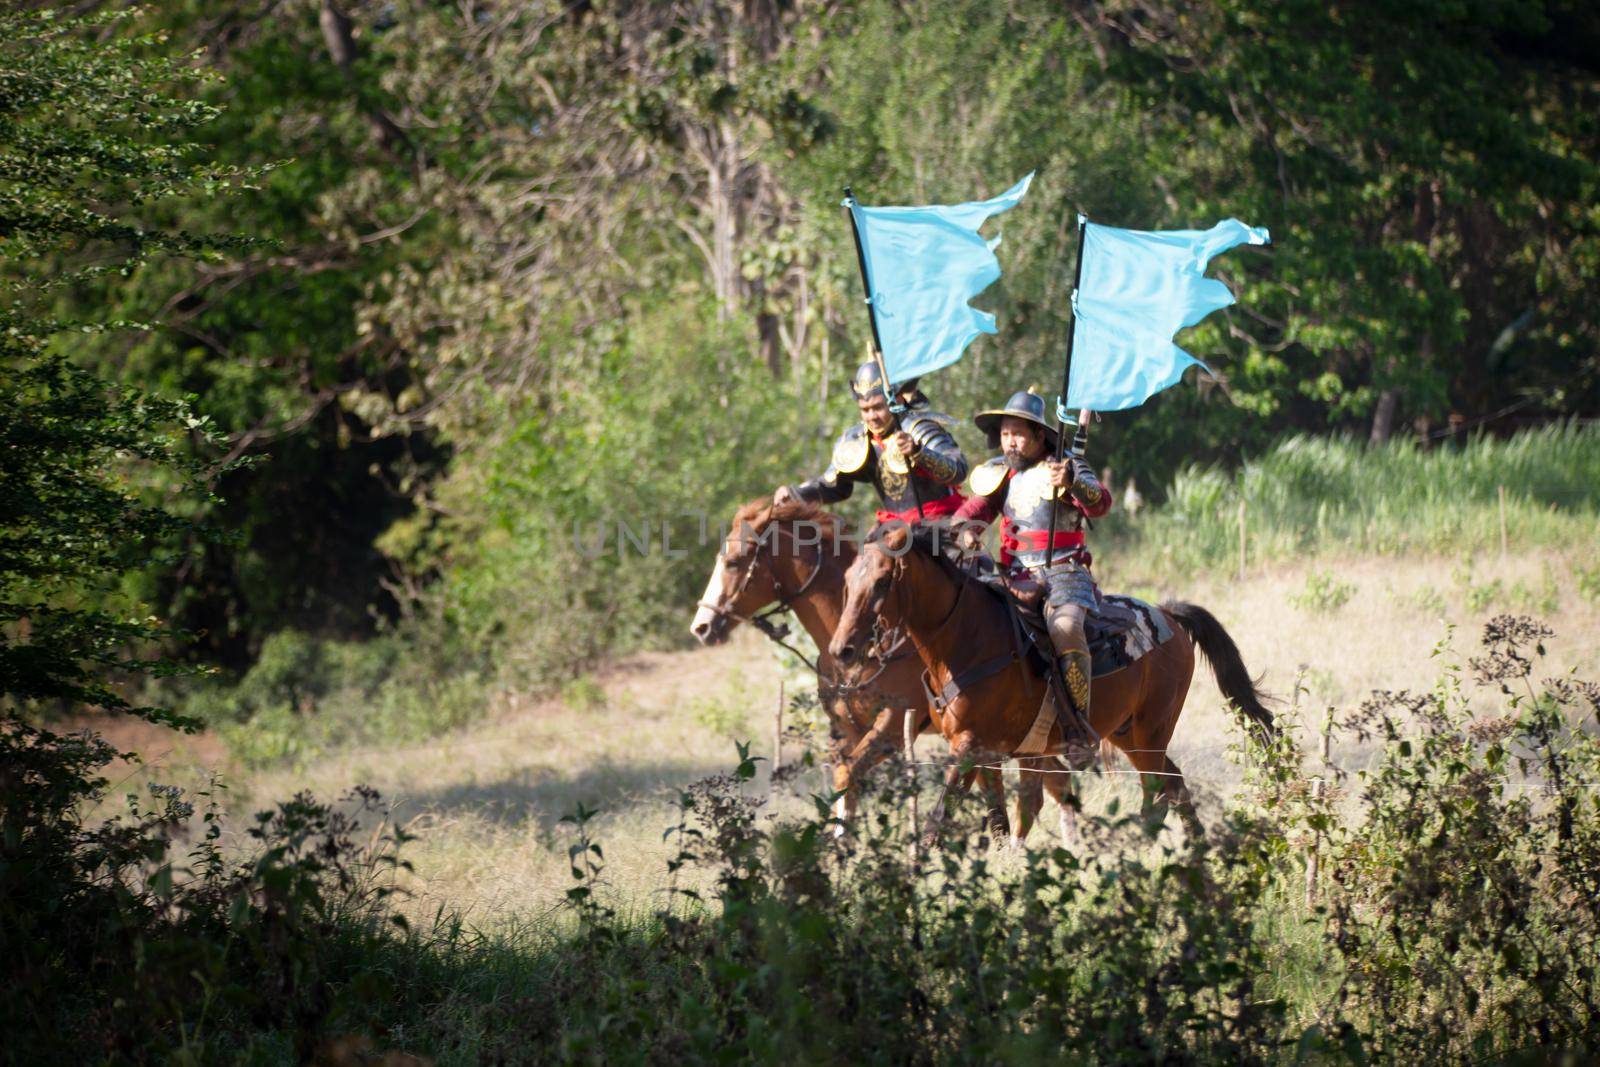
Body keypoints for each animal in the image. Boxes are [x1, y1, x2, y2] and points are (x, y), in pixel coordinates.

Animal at [688, 502, 1075, 844]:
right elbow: (845, 782)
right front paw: (840, 847)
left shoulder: (892, 725)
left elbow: (850, 774)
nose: (702, 626)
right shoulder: (846, 728)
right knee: (1053, 782)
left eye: (733, 562)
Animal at [825, 524, 1273, 844]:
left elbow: (940, 820)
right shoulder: (984, 752)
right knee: (1174, 786)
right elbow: (999, 821)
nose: (841, 649)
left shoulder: (968, 746)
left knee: (1156, 795)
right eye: (847, 580)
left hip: (1151, 732)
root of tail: (1169, 615)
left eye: (883, 582)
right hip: (1129, 734)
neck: (968, 638)